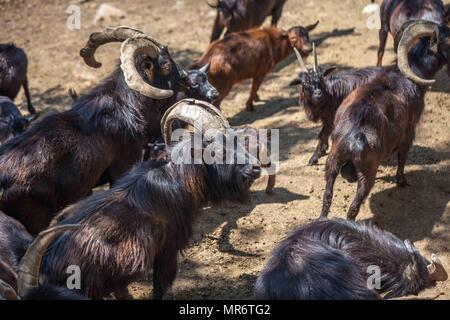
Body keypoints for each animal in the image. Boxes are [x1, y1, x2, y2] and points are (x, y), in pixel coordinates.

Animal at [40, 100, 262, 300]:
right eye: (218, 151)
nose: (255, 168)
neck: (176, 178)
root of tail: (48, 265)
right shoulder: (168, 248)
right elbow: (160, 287)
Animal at [190, 22, 320, 111]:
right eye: (293, 38)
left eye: (307, 35)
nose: (308, 49)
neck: (273, 45)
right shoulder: (261, 71)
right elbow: (254, 87)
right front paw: (250, 106)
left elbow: (255, 89)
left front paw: (256, 99)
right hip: (224, 84)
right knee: (216, 103)